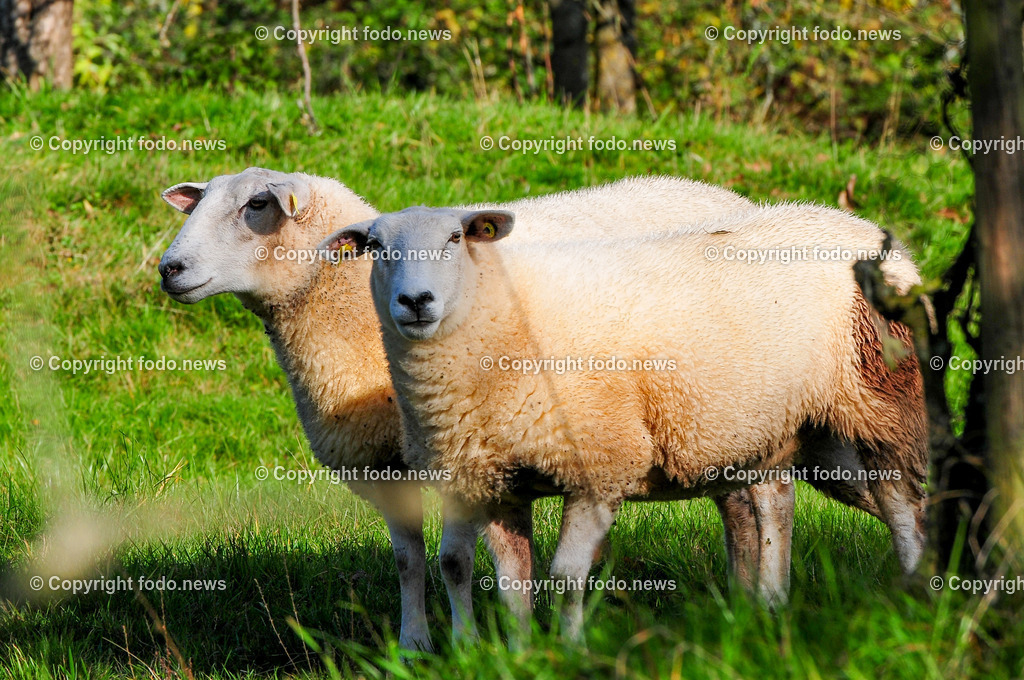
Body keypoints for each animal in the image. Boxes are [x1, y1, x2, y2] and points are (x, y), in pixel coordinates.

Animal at [323, 203, 928, 641]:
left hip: (879, 397)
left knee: (901, 503)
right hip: (783, 426)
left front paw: (569, 651)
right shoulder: (494, 481)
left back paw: (919, 595)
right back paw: (770, 608)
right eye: (375, 248)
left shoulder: (600, 464)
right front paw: (520, 654)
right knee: (779, 504)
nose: (416, 301)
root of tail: (869, 231)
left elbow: (566, 577)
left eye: (455, 238)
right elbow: (512, 583)